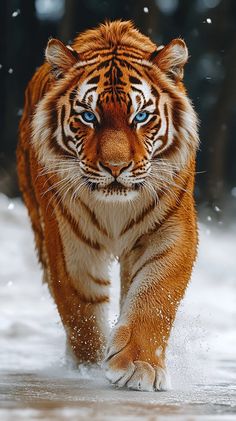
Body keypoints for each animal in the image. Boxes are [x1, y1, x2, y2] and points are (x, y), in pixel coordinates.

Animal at [17, 19, 199, 390]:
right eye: (88, 116)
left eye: (141, 116)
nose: (116, 167)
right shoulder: (69, 242)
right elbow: (82, 311)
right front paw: (88, 368)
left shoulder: (171, 231)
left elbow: (154, 295)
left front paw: (139, 366)